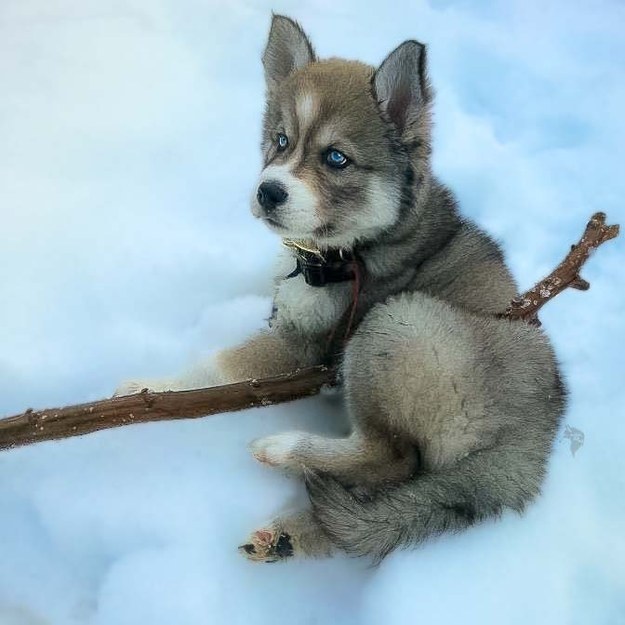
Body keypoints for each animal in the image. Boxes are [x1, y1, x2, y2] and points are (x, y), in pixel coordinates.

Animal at [113, 14, 564, 564]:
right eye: (280, 140)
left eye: (336, 158)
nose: (268, 192)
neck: (344, 252)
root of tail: (530, 442)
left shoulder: (301, 348)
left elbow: (217, 367)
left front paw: (148, 389)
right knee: (382, 506)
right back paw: (287, 536)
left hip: (396, 324)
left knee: (391, 459)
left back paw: (285, 450)